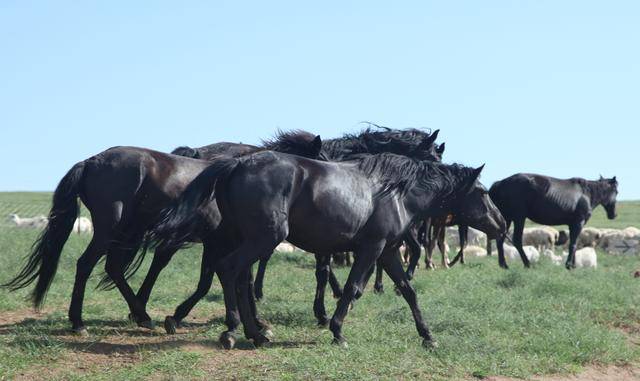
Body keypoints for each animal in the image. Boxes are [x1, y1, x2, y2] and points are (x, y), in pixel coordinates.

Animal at [0, 131, 320, 332]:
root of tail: (91, 161)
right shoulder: (217, 242)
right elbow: (210, 281)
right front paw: (178, 317)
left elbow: (236, 278)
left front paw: (255, 322)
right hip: (109, 231)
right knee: (86, 264)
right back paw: (80, 322)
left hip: (123, 234)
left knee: (113, 268)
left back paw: (141, 316)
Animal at [488, 174, 616, 268]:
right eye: (616, 192)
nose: (613, 215)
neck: (586, 193)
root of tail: (500, 183)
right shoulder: (578, 223)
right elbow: (573, 244)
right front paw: (569, 265)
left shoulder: (572, 225)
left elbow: (573, 243)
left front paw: (572, 264)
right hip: (519, 218)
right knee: (517, 240)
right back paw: (527, 263)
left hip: (507, 218)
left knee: (500, 240)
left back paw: (504, 265)